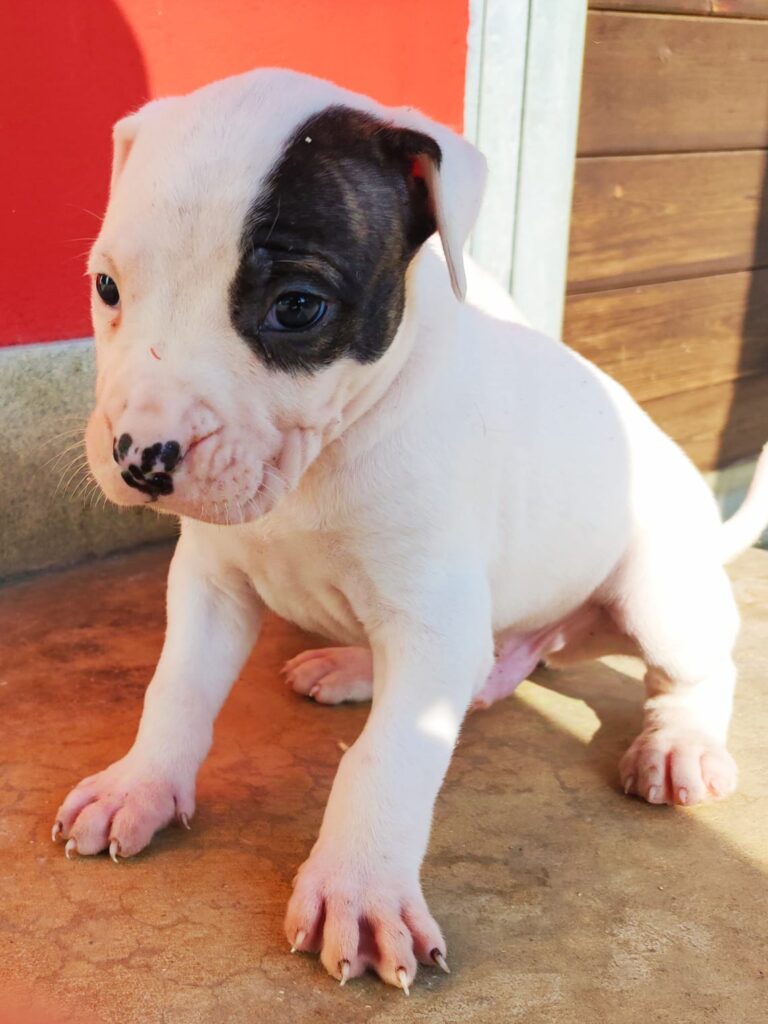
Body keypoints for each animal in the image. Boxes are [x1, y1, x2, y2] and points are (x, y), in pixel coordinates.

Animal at [52, 66, 768, 991]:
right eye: (107, 288)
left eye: (298, 306)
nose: (140, 456)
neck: (326, 457)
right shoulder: (210, 584)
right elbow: (176, 688)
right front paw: (139, 785)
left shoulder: (432, 621)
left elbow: (387, 758)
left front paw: (358, 890)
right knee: (479, 673)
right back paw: (355, 665)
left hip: (657, 593)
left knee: (700, 670)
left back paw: (680, 742)